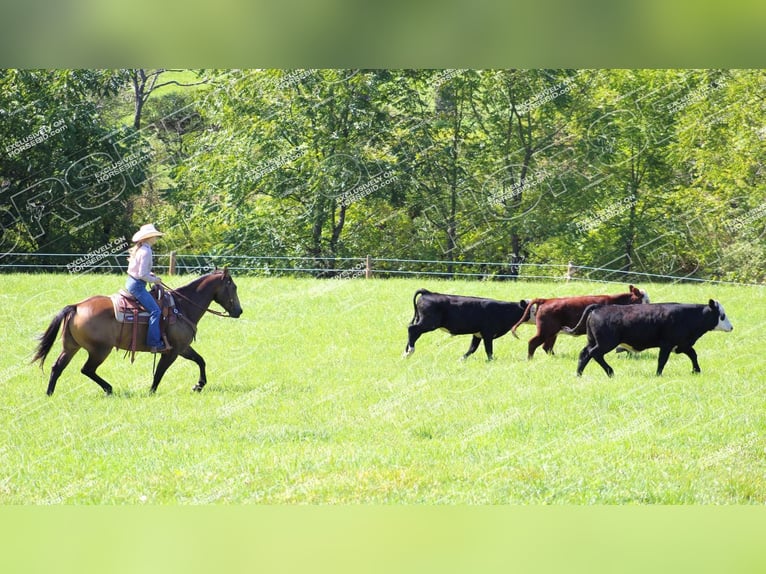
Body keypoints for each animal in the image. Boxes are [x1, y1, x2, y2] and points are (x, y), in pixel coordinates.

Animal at [32, 270, 243, 396]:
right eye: (233, 287)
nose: (239, 311)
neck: (181, 306)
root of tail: (76, 306)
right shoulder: (173, 351)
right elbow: (159, 372)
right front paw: (151, 392)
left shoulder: (183, 348)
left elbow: (200, 360)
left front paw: (199, 385)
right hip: (100, 350)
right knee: (87, 369)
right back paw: (109, 389)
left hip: (71, 347)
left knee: (57, 367)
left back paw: (49, 394)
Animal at [404, 290, 536, 362]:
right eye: (533, 310)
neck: (504, 310)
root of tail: (428, 293)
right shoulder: (487, 333)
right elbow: (489, 350)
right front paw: (491, 361)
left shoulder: (477, 334)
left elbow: (472, 348)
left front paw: (461, 359)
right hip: (429, 323)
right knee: (412, 329)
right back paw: (410, 351)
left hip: (421, 320)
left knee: (412, 332)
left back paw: (405, 353)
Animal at [512, 286, 652, 362]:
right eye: (645, 300)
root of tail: (546, 300)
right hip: (545, 331)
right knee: (533, 343)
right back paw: (530, 359)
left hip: (552, 333)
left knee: (547, 347)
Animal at [572, 302, 736, 378]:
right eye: (722, 315)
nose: (731, 327)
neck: (688, 316)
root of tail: (598, 307)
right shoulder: (667, 344)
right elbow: (662, 360)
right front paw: (658, 374)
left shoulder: (683, 344)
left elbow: (693, 355)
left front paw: (696, 370)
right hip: (605, 343)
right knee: (593, 354)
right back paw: (610, 372)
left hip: (593, 341)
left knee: (584, 354)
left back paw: (579, 374)